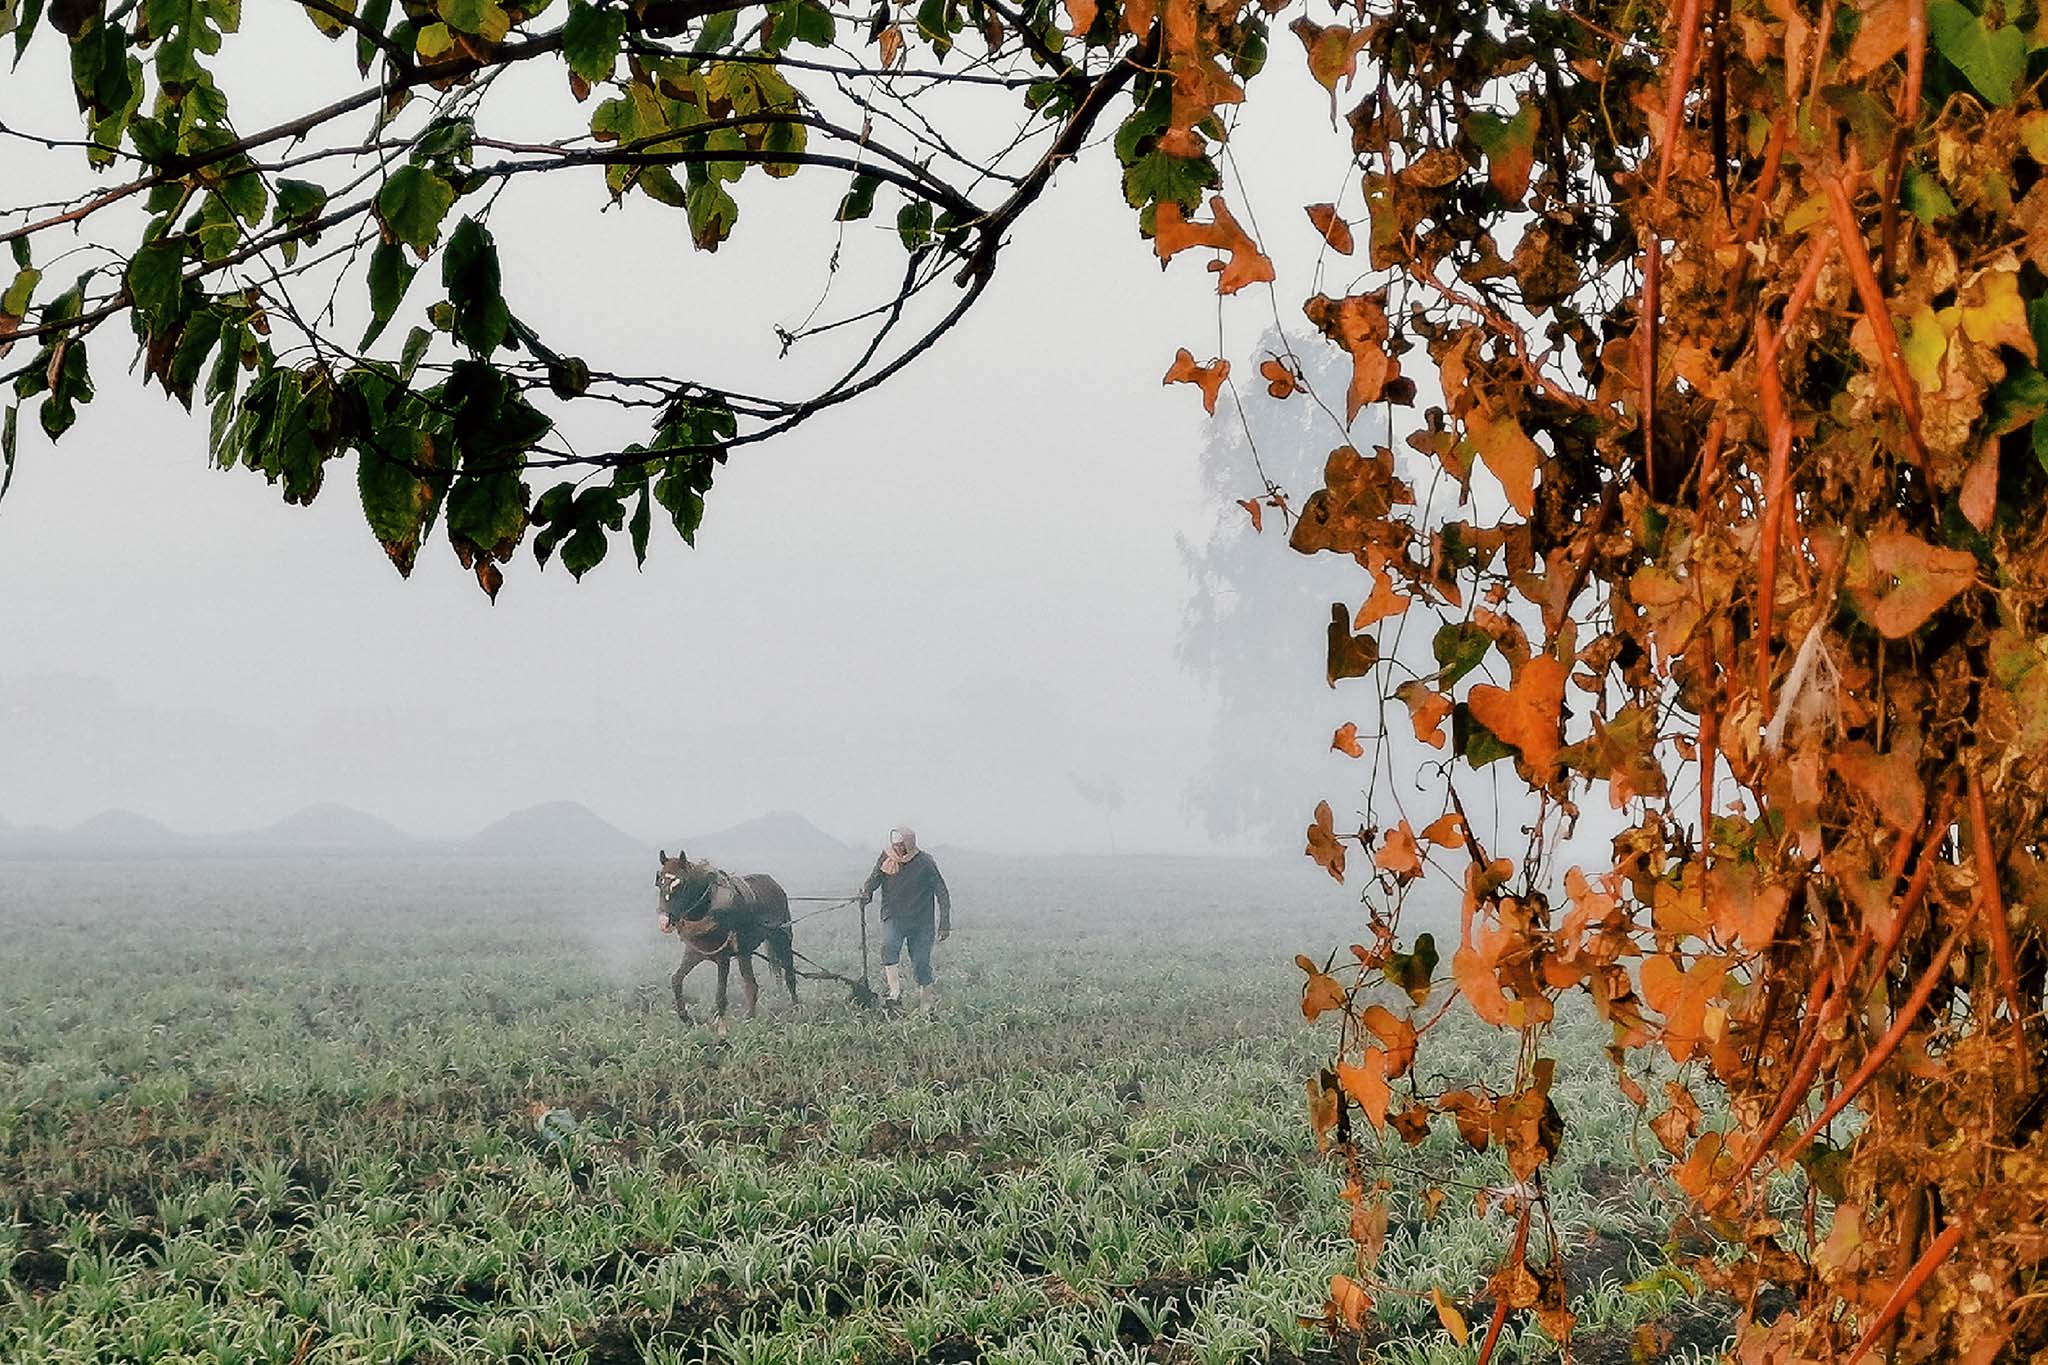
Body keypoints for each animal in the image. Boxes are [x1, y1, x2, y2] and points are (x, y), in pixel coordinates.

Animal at [663, 847, 806, 1019]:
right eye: (659, 882)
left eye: (681, 884)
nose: (664, 920)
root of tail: (775, 884)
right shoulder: (694, 952)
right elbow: (676, 980)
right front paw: (685, 1017)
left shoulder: (723, 958)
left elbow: (720, 995)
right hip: (744, 952)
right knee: (751, 985)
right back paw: (750, 1017)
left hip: (782, 940)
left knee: (789, 976)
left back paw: (796, 1008)